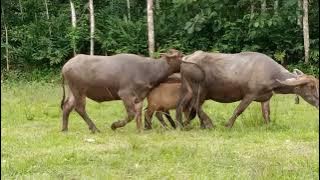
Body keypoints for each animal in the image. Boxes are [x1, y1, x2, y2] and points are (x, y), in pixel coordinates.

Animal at [176, 50, 318, 129]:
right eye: (311, 86)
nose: (318, 102)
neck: (271, 74)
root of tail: (187, 58)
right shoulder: (250, 95)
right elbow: (239, 110)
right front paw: (228, 125)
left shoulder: (265, 98)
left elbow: (266, 114)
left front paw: (268, 125)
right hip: (198, 90)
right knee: (194, 106)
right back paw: (208, 124)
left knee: (188, 107)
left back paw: (189, 124)